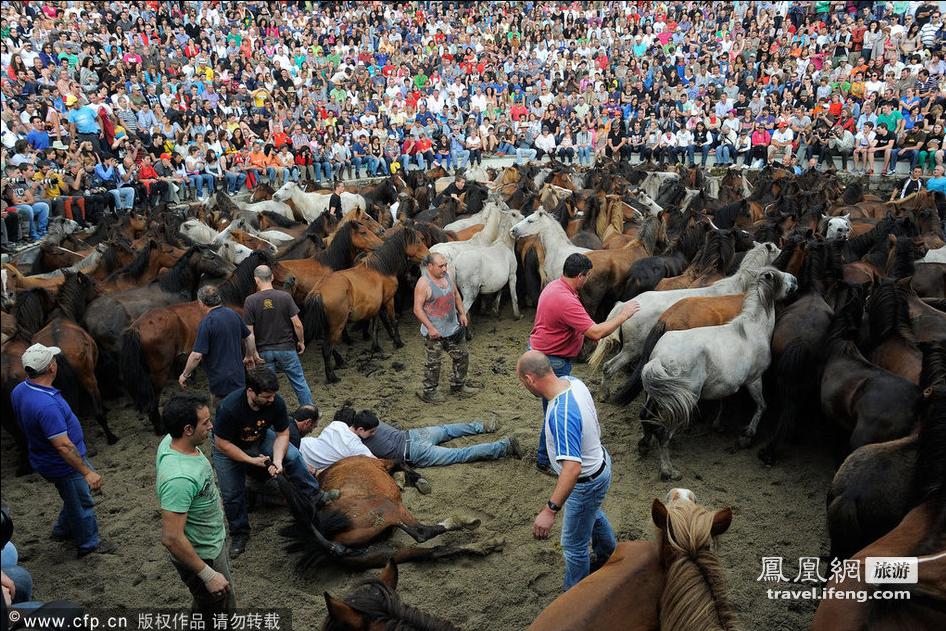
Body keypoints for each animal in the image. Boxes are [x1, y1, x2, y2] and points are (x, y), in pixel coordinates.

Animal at [302, 228, 428, 382]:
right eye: (418, 241)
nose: (429, 256)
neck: (381, 269)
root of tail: (318, 291)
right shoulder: (389, 300)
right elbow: (393, 321)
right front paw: (398, 342)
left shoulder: (376, 307)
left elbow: (375, 326)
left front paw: (376, 347)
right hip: (337, 325)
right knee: (327, 348)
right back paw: (332, 377)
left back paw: (340, 361)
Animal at [636, 270, 792, 482]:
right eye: (780, 277)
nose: (795, 281)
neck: (752, 329)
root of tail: (659, 357)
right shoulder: (754, 379)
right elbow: (762, 405)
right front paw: (746, 436)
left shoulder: (726, 383)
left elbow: (725, 401)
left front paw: (719, 424)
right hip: (684, 400)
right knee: (663, 433)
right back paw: (668, 471)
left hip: (660, 394)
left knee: (645, 415)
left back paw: (644, 445)